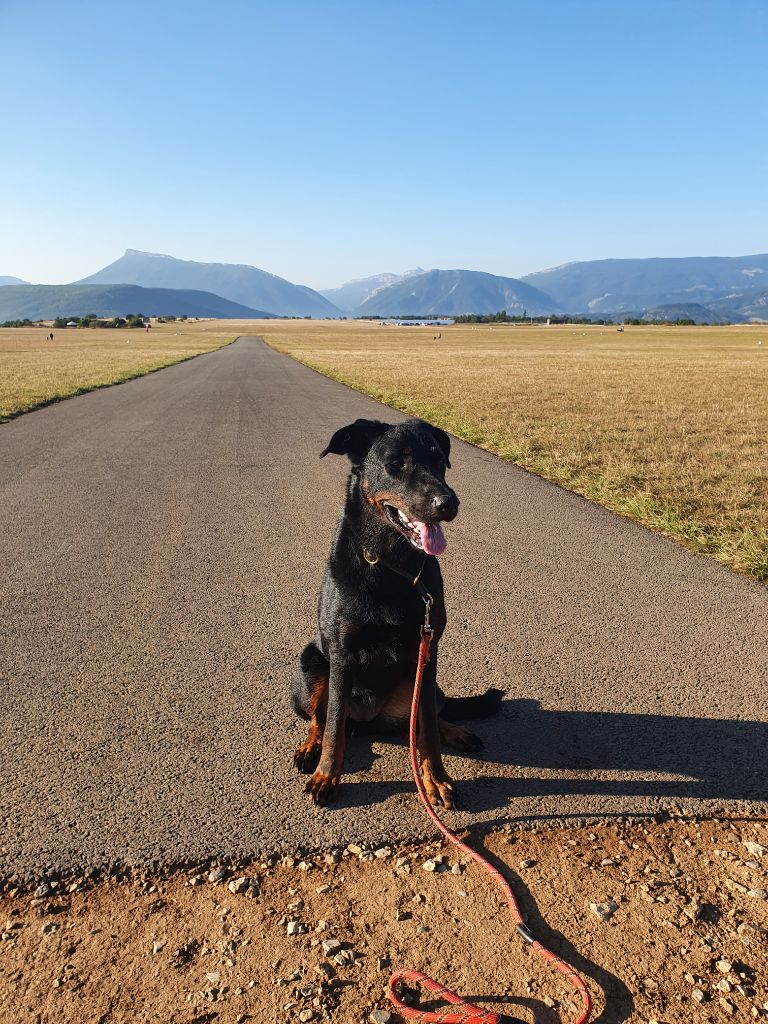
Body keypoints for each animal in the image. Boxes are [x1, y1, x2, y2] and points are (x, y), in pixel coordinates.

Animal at [290, 415, 501, 806]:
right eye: (395, 464)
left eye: (439, 460)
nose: (449, 503)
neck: (390, 565)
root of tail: (368, 721)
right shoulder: (341, 655)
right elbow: (333, 725)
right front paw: (326, 775)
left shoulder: (428, 653)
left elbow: (427, 730)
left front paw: (437, 779)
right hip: (309, 668)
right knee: (320, 719)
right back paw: (310, 748)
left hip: (422, 683)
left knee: (423, 718)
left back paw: (454, 731)